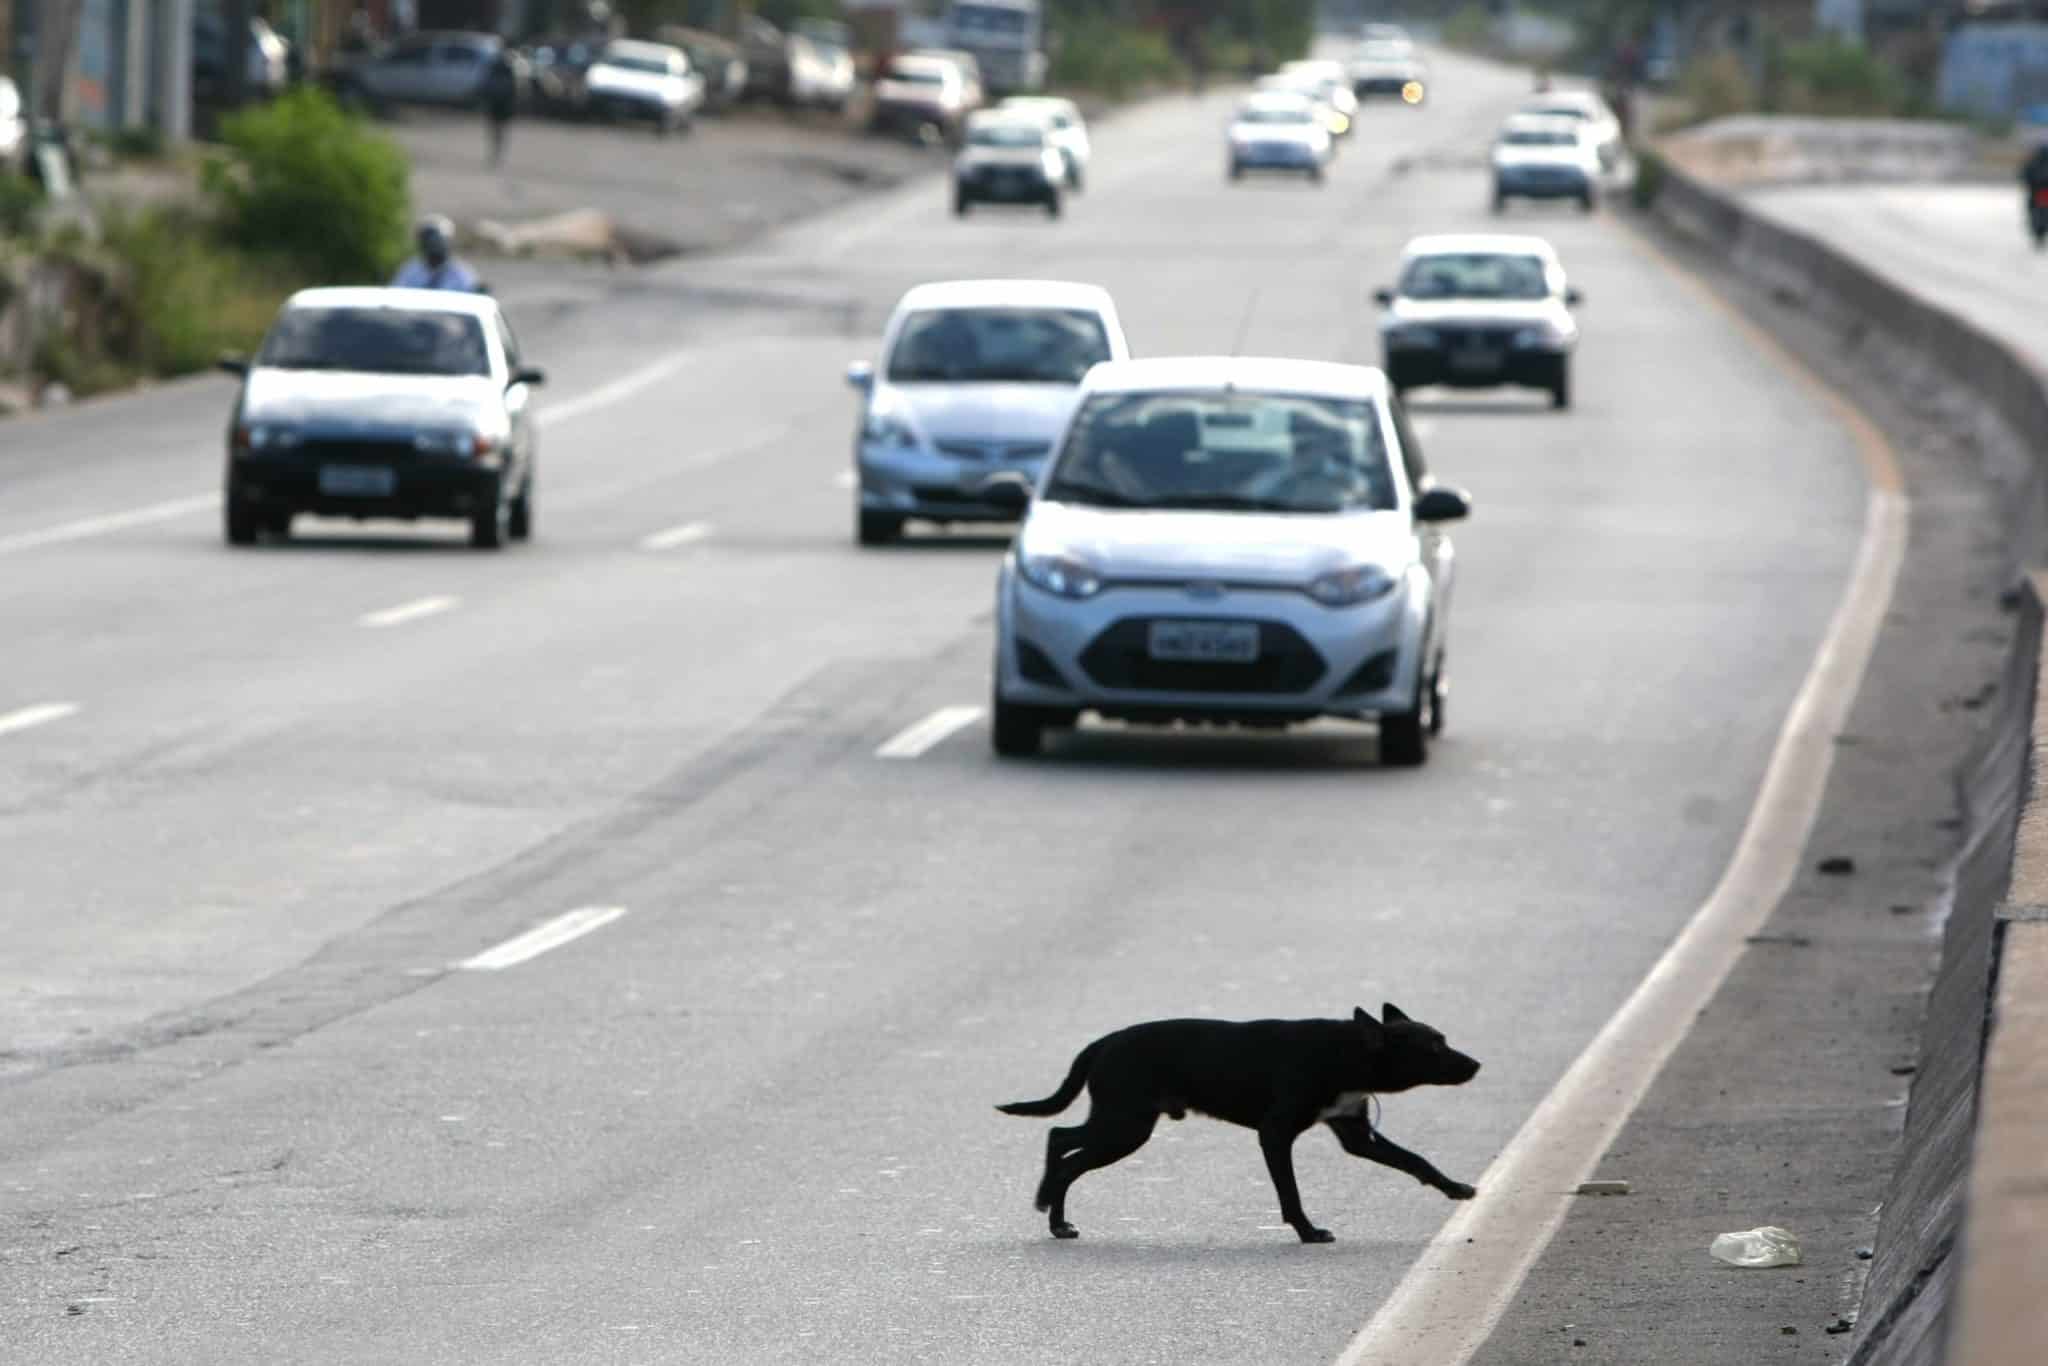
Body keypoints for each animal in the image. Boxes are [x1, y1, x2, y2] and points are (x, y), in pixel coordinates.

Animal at [991, 1003, 1474, 1236]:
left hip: (1122, 1123)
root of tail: (1103, 1042)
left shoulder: (1357, 1134)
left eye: (1442, 1040)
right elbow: (1290, 1193)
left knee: (1062, 1141)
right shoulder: (1275, 1134)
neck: (1346, 1051)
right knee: (1063, 1146)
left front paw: (1457, 1188)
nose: (1476, 1065)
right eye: (1432, 1047)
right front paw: (1308, 1232)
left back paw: (1054, 1216)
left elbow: (1415, 1160)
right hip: (1125, 1125)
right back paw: (1051, 1210)